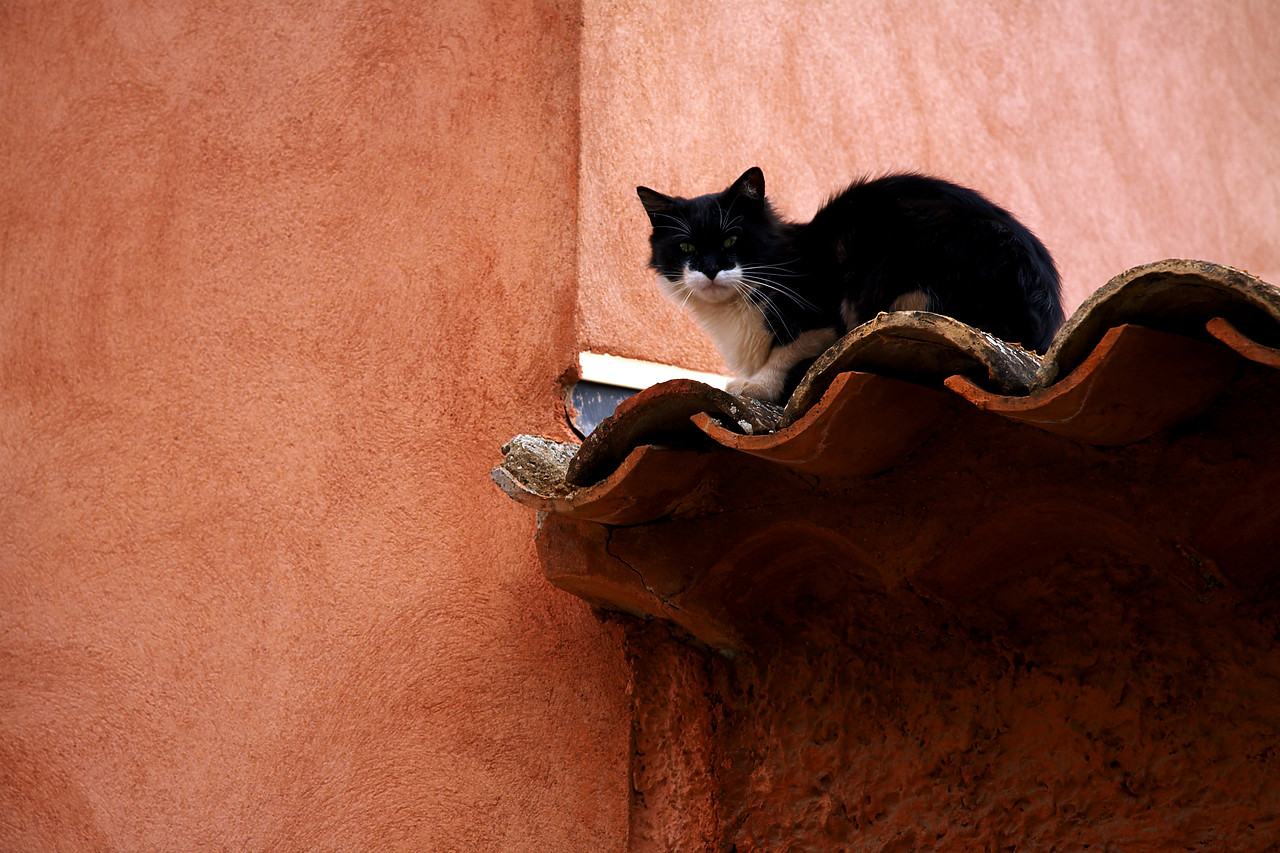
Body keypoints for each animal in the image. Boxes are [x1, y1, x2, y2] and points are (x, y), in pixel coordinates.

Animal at [634, 169, 1064, 404]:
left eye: (731, 240)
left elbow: (785, 353)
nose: (710, 270)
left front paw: (755, 387)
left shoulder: (819, 315)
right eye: (686, 247)